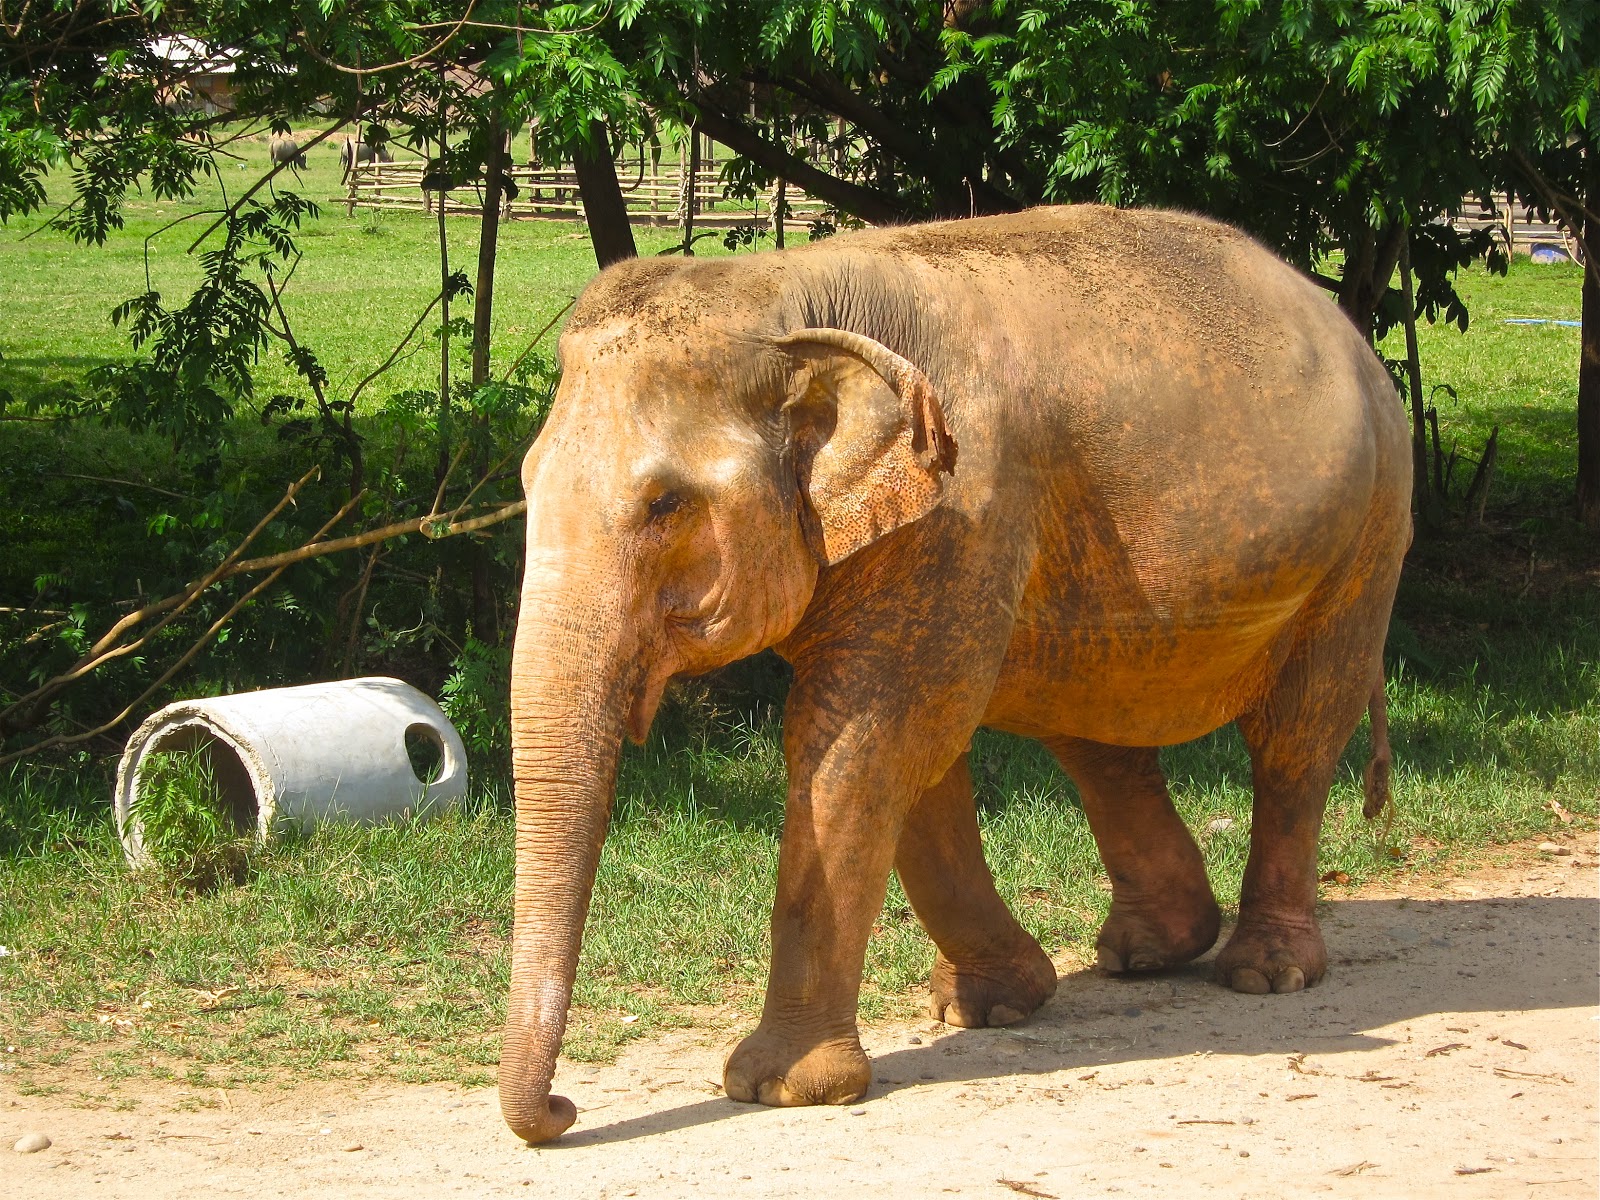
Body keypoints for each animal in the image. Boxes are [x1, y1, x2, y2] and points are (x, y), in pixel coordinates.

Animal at [500, 205, 1412, 1144]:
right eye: (527, 480)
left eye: (666, 505)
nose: (564, 1110)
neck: (785, 293)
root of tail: (1345, 324)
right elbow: (909, 751)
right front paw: (984, 1009)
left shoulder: (964, 504)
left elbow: (866, 738)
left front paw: (779, 1085)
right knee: (1098, 732)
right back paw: (1150, 951)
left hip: (1368, 534)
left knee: (1296, 735)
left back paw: (1265, 971)